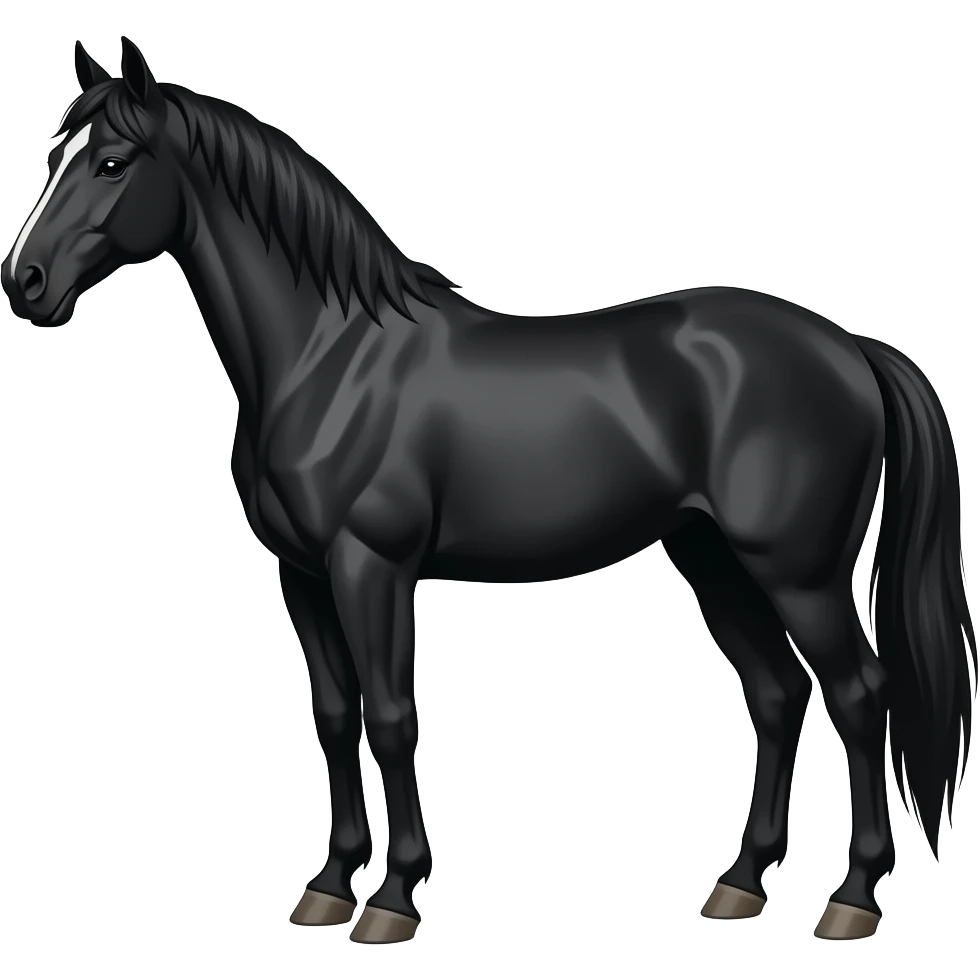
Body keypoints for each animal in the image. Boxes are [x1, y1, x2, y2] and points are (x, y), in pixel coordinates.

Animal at [1, 37, 975, 945]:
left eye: (113, 161)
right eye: (53, 153)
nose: (25, 282)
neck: (329, 355)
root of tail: (850, 348)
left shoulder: (372, 567)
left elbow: (392, 716)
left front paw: (393, 899)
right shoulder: (303, 573)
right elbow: (335, 715)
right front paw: (328, 887)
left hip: (798, 573)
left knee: (859, 696)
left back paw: (851, 900)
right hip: (712, 558)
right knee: (777, 696)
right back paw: (739, 884)